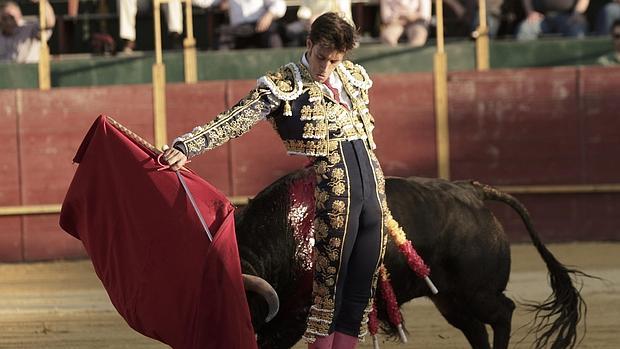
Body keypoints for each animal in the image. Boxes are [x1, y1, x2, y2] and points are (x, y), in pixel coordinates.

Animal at [234, 167, 588, 346]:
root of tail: (472, 191)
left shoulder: (294, 320)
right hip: (449, 299)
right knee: (475, 329)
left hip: (478, 292)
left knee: (503, 313)